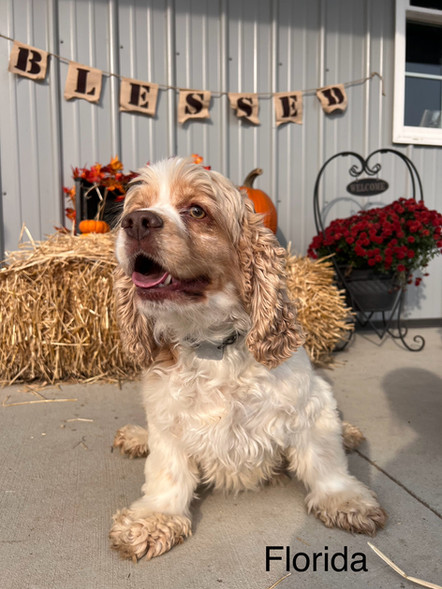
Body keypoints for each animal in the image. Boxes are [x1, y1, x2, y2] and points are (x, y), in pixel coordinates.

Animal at [109, 156, 386, 560]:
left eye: (197, 210)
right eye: (133, 210)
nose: (137, 222)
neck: (214, 346)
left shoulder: (308, 404)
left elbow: (324, 458)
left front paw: (345, 501)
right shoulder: (167, 417)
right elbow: (166, 471)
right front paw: (154, 519)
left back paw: (347, 432)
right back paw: (134, 437)